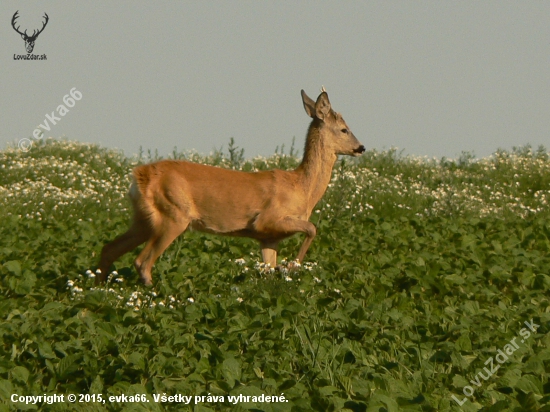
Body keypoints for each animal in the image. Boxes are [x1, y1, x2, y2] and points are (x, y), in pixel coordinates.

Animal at [99, 88, 366, 284]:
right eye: (344, 129)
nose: (361, 147)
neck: (303, 188)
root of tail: (139, 177)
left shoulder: (268, 238)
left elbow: (268, 270)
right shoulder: (267, 220)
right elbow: (312, 228)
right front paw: (293, 265)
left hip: (144, 220)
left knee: (108, 248)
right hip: (173, 215)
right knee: (142, 263)